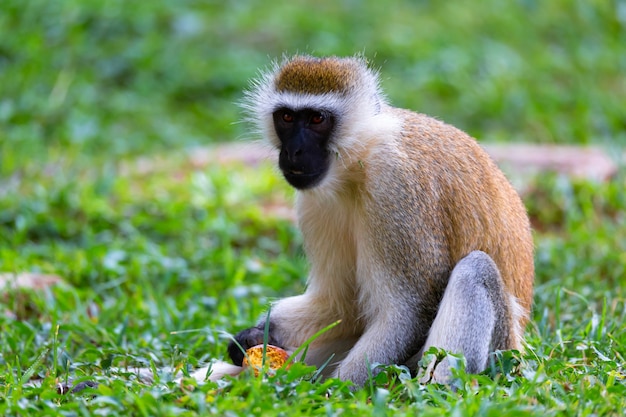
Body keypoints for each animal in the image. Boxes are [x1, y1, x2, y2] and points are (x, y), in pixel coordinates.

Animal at [227, 55, 532, 386]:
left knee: (475, 269)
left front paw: (336, 392)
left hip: (500, 352)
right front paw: (255, 334)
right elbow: (341, 305)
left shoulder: (396, 184)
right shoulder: (314, 202)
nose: (294, 151)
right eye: (286, 117)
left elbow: (407, 315)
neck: (358, 159)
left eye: (317, 119)